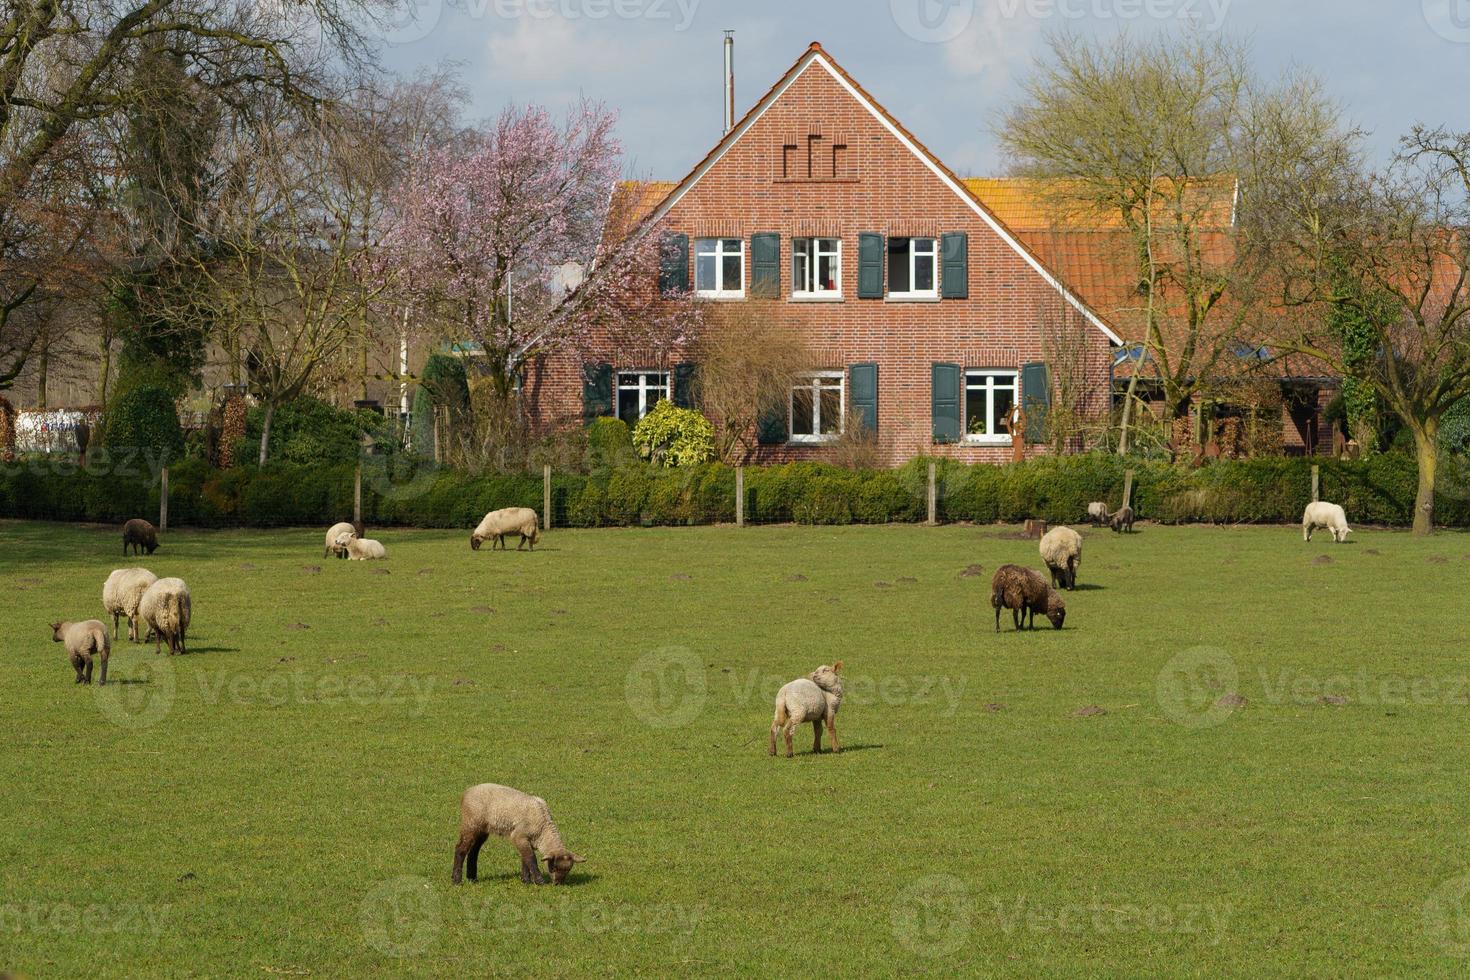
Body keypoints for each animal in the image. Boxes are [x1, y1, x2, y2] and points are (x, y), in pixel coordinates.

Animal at [449, 787, 582, 887]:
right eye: (553, 867)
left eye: (569, 869)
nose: (558, 884)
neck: (543, 827)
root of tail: (466, 793)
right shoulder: (519, 836)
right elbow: (531, 858)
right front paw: (539, 881)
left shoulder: (527, 839)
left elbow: (525, 858)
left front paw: (526, 880)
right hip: (470, 823)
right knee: (460, 849)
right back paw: (456, 880)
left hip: (482, 828)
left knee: (473, 851)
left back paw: (472, 878)